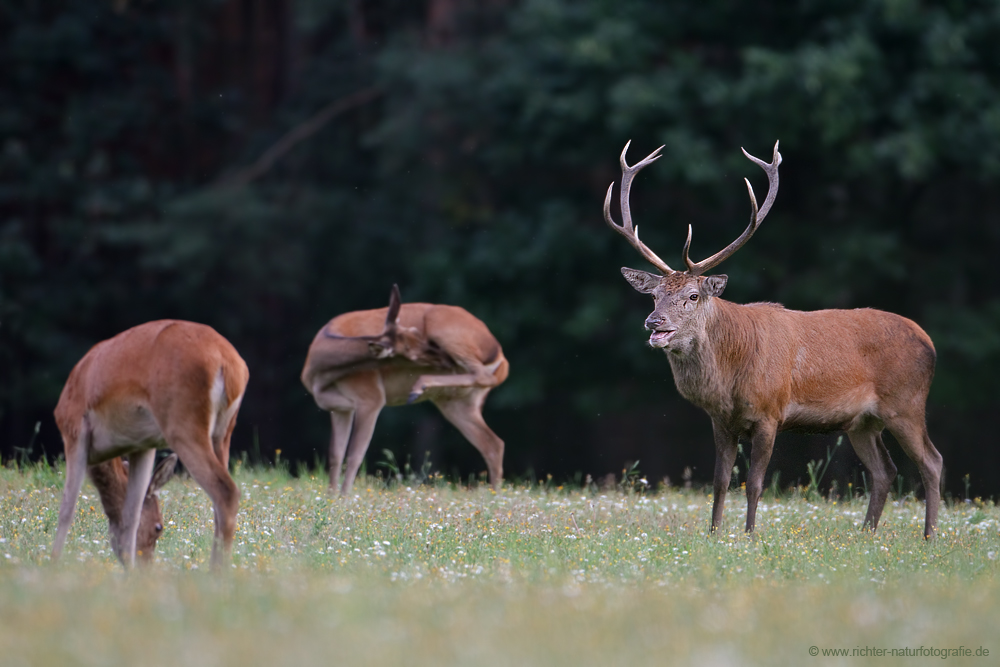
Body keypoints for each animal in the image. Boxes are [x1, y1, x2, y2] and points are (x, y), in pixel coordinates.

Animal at [53, 320, 250, 568]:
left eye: (160, 527)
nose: (145, 565)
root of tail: (229, 363)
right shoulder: (143, 444)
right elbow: (131, 516)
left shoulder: (74, 428)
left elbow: (66, 509)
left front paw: (52, 562)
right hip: (223, 433)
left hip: (182, 423)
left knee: (226, 491)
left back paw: (216, 572)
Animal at [300, 286, 508, 496]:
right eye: (411, 354)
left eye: (417, 332)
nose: (446, 360)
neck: (319, 374)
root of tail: (500, 357)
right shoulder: (339, 408)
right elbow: (336, 454)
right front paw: (331, 497)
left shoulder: (371, 396)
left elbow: (355, 454)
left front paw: (344, 498)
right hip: (457, 401)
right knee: (493, 444)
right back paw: (495, 495)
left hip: (444, 328)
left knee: (482, 376)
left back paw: (418, 386)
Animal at [604, 140, 940, 536]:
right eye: (654, 295)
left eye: (693, 295)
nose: (654, 322)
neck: (731, 376)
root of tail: (929, 341)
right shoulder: (721, 420)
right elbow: (720, 481)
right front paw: (714, 533)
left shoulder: (770, 412)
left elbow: (755, 482)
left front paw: (749, 535)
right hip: (862, 421)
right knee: (884, 470)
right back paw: (866, 534)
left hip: (906, 402)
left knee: (931, 461)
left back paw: (929, 537)